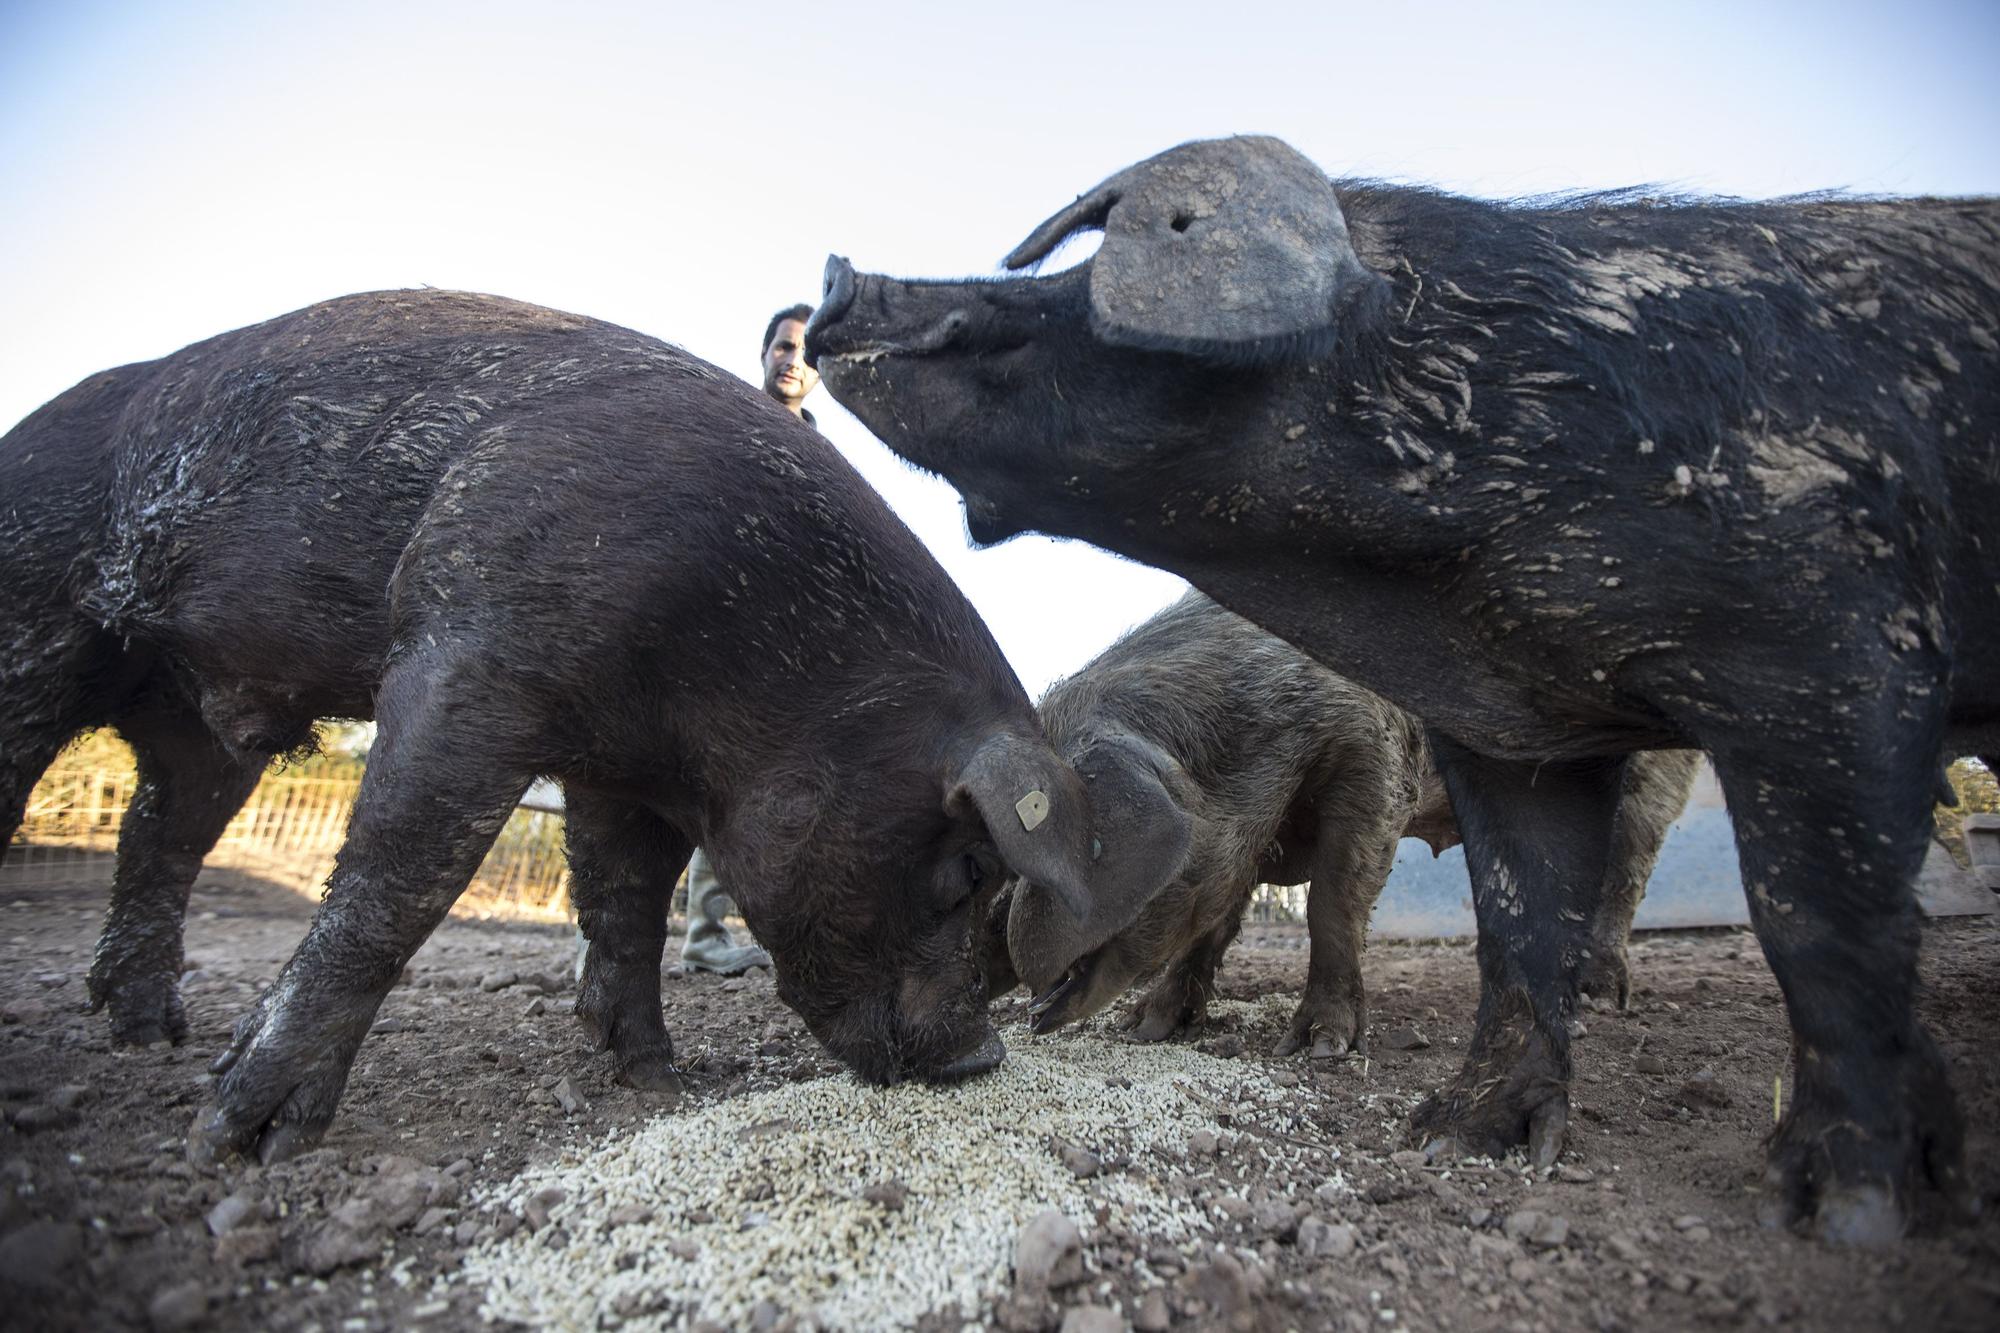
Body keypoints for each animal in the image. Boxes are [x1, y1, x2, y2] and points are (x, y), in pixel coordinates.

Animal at [0, 290, 1184, 1160]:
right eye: (966, 868)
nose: (979, 1058)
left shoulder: (624, 768)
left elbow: (625, 902)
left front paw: (651, 1073)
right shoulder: (470, 657)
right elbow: (396, 881)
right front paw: (241, 1143)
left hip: (196, 723)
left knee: (161, 836)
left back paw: (147, 1031)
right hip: (33, 613)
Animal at [992, 592, 1696, 1048]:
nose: (994, 932)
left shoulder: (1376, 758)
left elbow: (1333, 901)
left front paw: (1318, 1048)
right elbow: (1211, 921)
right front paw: (1145, 1031)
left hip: (1656, 770)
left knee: (1628, 866)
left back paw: (1600, 998)